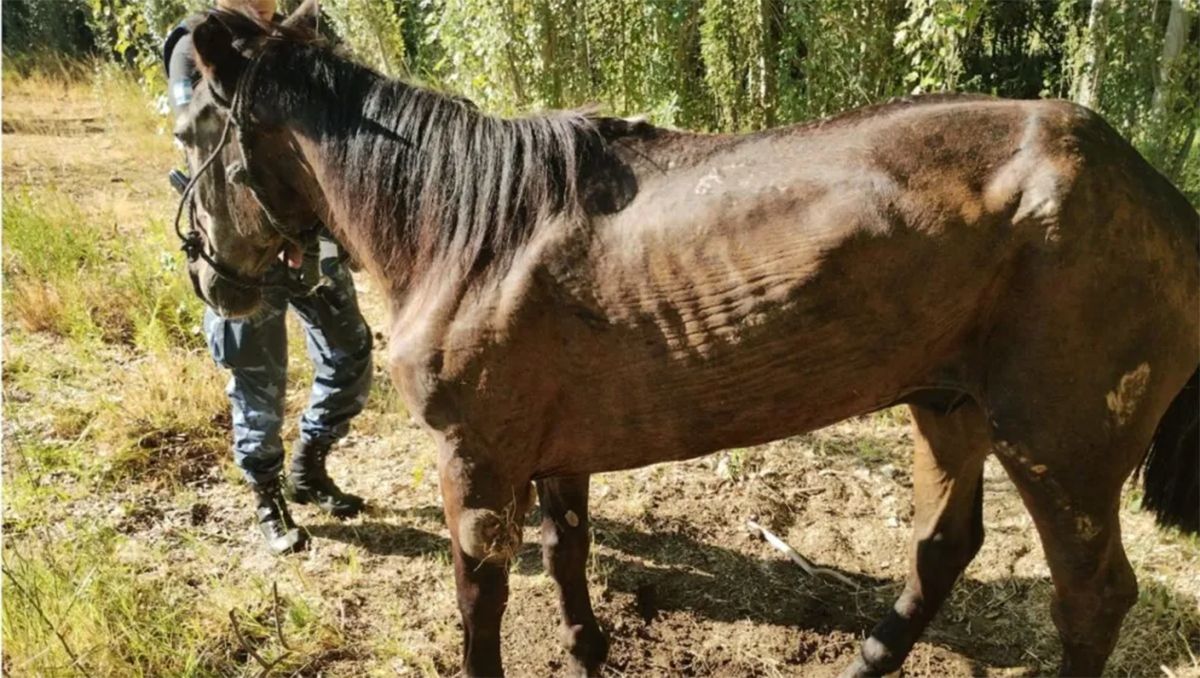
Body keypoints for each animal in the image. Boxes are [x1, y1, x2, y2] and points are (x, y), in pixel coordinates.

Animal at [174, 4, 1199, 676]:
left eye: (189, 133)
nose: (213, 282)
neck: (470, 232)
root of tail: (1152, 190)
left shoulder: (475, 461)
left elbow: (480, 603)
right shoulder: (554, 452)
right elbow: (569, 556)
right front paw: (589, 652)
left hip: (1062, 450)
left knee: (1091, 600)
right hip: (948, 405)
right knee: (944, 545)